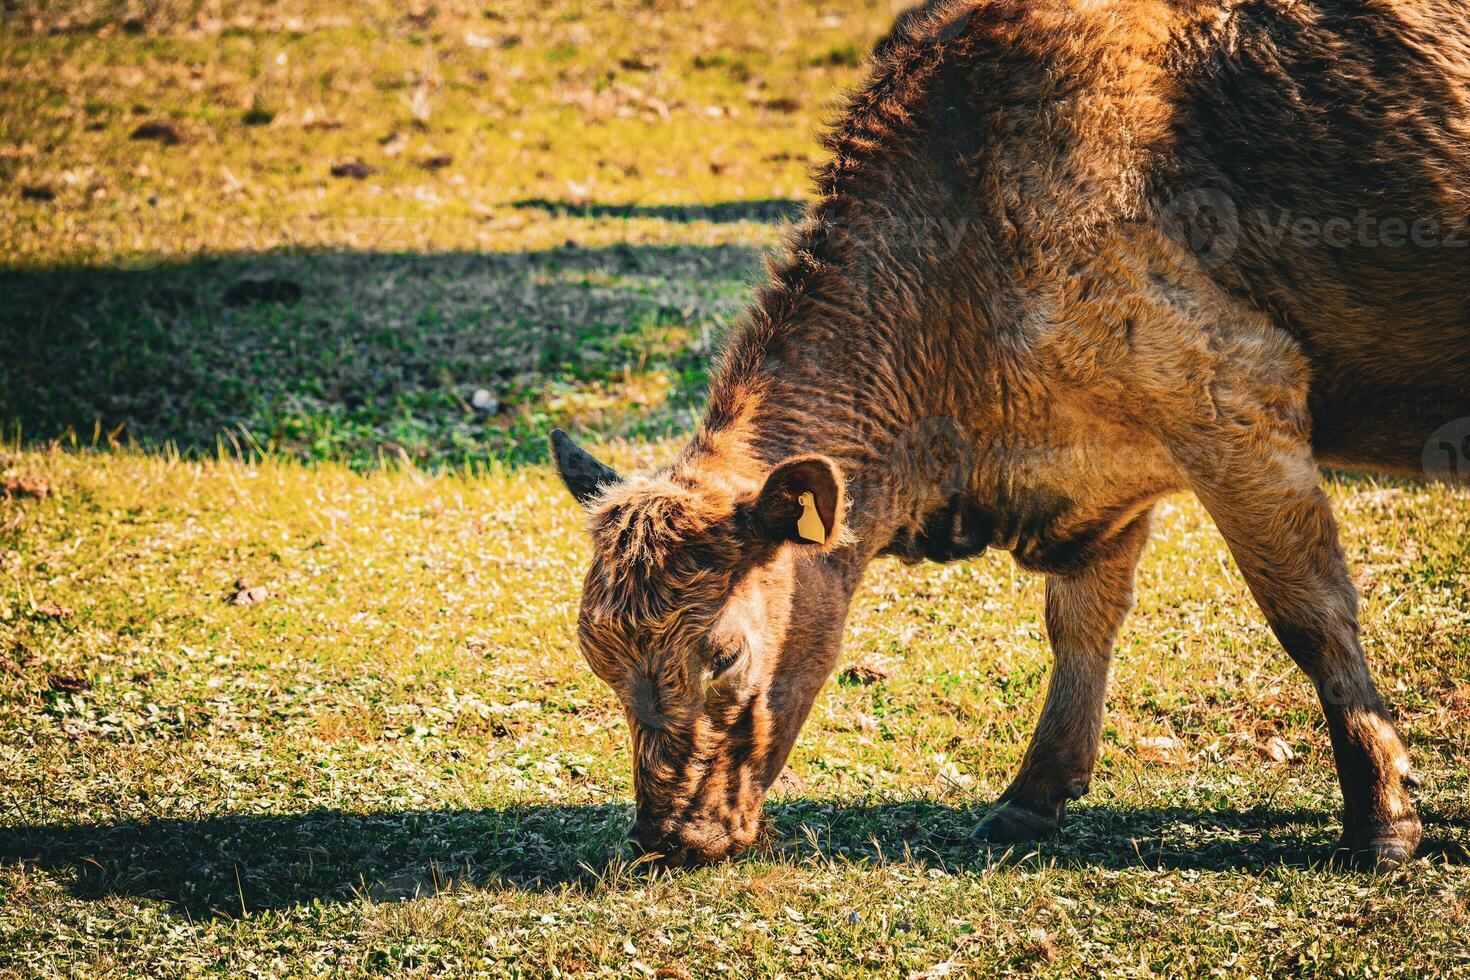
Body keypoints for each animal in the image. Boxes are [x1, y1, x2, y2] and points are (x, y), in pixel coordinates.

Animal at [549, 0, 1470, 875]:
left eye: (725, 655)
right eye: (596, 654)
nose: (668, 837)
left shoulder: (1234, 398)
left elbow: (1311, 616)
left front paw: (1382, 821)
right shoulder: (1108, 468)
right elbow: (1080, 624)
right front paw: (1031, 799)